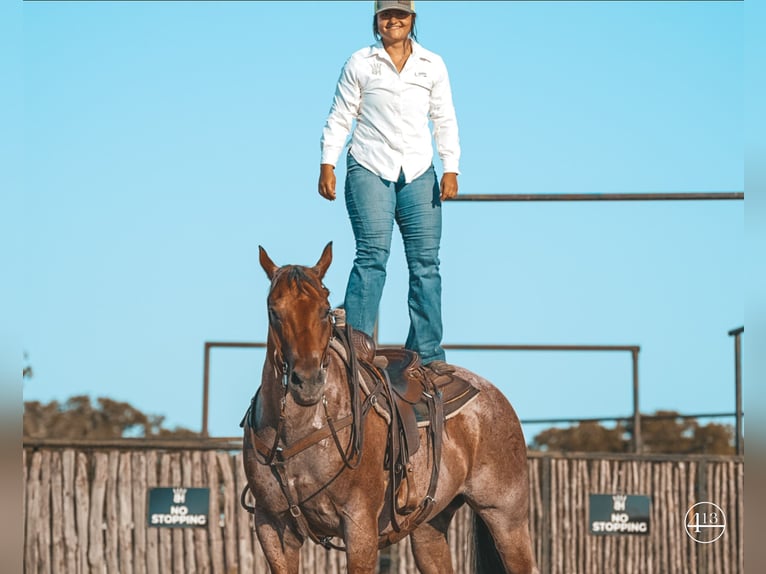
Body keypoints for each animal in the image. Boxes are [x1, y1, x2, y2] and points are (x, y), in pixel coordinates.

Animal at [243, 244, 536, 574]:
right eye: (273, 311)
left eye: (325, 310)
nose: (307, 381)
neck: (299, 430)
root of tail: (493, 395)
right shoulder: (271, 526)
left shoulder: (359, 526)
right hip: (428, 528)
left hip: (505, 517)